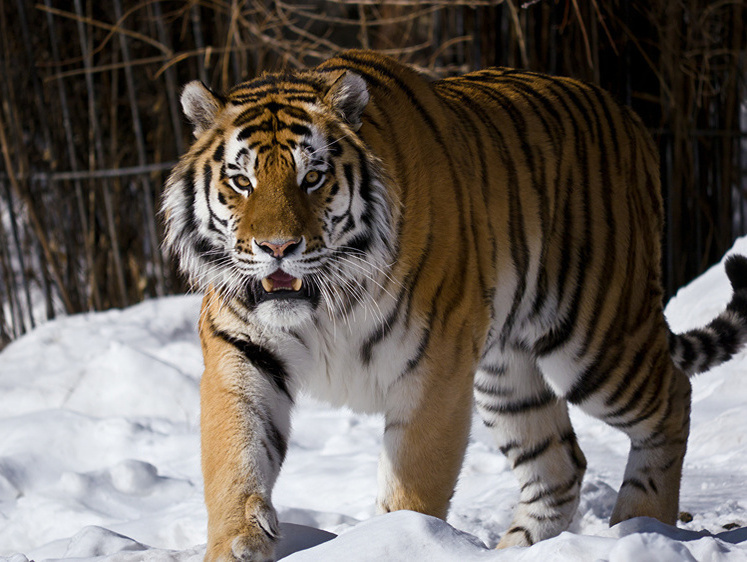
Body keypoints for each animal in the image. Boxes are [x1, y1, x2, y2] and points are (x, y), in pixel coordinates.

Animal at [161, 50, 747, 556]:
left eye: (313, 177)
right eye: (241, 181)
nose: (278, 248)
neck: (326, 302)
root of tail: (631, 120)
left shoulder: (434, 366)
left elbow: (413, 486)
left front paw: (398, 543)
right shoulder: (242, 350)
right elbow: (234, 457)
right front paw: (239, 541)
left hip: (595, 338)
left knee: (673, 398)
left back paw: (641, 526)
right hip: (506, 375)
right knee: (560, 464)